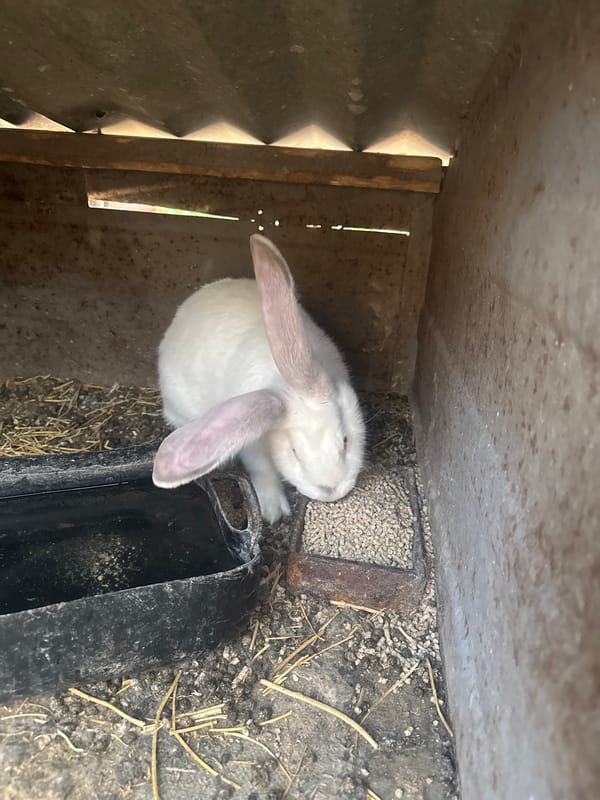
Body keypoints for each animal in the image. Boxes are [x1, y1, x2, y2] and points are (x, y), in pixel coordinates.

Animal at [152, 233, 366, 524]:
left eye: (345, 441)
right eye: (294, 453)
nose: (331, 491)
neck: (286, 382)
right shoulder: (252, 444)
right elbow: (262, 470)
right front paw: (273, 511)